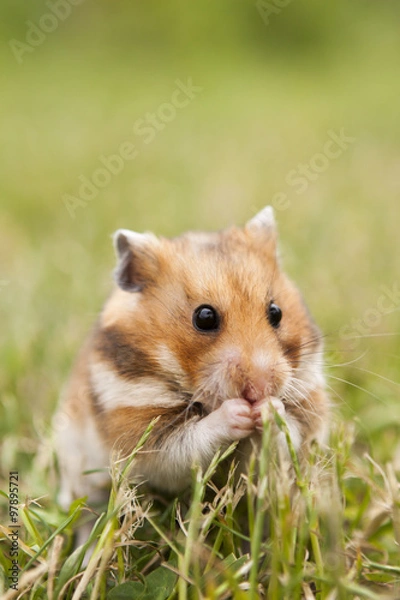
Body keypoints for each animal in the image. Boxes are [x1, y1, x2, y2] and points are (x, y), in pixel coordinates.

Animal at [54, 207, 328, 510]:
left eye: (276, 312)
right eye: (204, 317)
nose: (259, 389)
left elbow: (286, 436)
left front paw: (267, 409)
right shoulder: (144, 432)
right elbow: (191, 442)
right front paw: (238, 412)